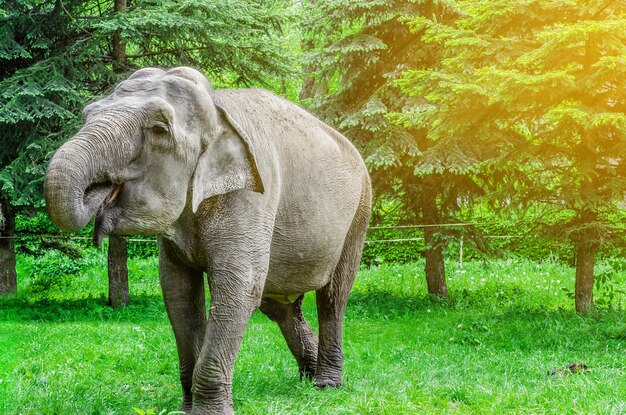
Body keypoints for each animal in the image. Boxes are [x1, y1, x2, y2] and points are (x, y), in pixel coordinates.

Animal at [44, 66, 370, 414]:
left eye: (159, 129)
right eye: (87, 114)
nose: (98, 207)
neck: (216, 109)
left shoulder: (253, 195)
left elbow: (237, 289)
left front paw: (209, 411)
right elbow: (179, 291)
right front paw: (186, 410)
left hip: (359, 213)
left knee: (332, 297)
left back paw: (326, 385)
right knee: (279, 304)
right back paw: (307, 376)